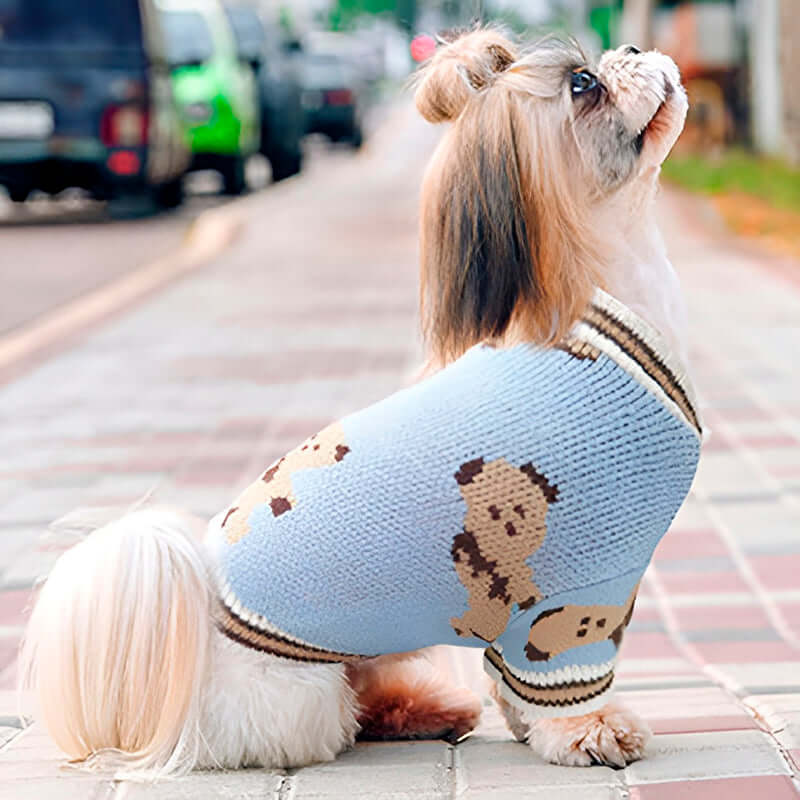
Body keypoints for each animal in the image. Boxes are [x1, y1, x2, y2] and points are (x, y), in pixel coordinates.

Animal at [18, 29, 700, 776]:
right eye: (583, 86)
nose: (630, 46)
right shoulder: (584, 584)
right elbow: (564, 677)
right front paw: (590, 730)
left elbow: (510, 682)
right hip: (305, 695)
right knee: (330, 721)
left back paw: (426, 709)